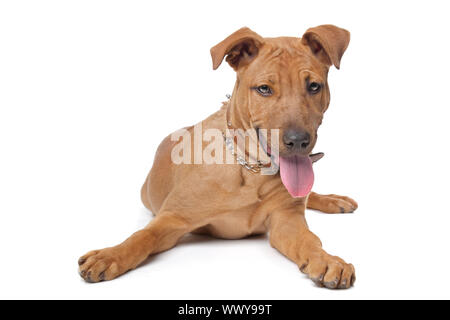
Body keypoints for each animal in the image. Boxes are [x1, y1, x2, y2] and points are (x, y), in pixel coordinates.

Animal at [78, 25, 358, 290]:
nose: (298, 141)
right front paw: (111, 255)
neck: (251, 169)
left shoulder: (286, 220)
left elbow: (310, 241)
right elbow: (142, 236)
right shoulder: (173, 217)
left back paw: (334, 200)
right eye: (264, 89)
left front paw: (327, 260)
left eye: (314, 86)